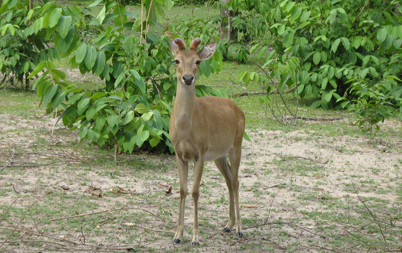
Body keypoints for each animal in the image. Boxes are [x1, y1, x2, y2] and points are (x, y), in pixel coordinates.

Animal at [169, 37, 245, 245]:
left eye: (197, 61)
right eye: (176, 60)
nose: (188, 78)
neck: (185, 130)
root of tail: (239, 110)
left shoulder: (200, 153)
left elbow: (195, 191)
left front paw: (195, 237)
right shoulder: (178, 153)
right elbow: (182, 190)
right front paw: (177, 235)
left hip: (237, 144)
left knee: (236, 181)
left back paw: (239, 229)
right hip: (219, 155)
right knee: (229, 180)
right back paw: (227, 225)